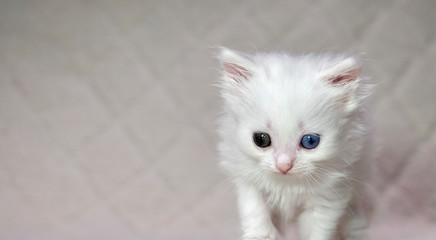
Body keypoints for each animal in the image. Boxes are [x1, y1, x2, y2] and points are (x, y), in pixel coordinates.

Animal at [216, 47, 372, 239]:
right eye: (261, 139)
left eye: (310, 141)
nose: (284, 165)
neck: (287, 185)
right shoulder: (248, 183)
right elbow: (256, 214)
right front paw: (261, 234)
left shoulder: (330, 195)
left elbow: (317, 231)